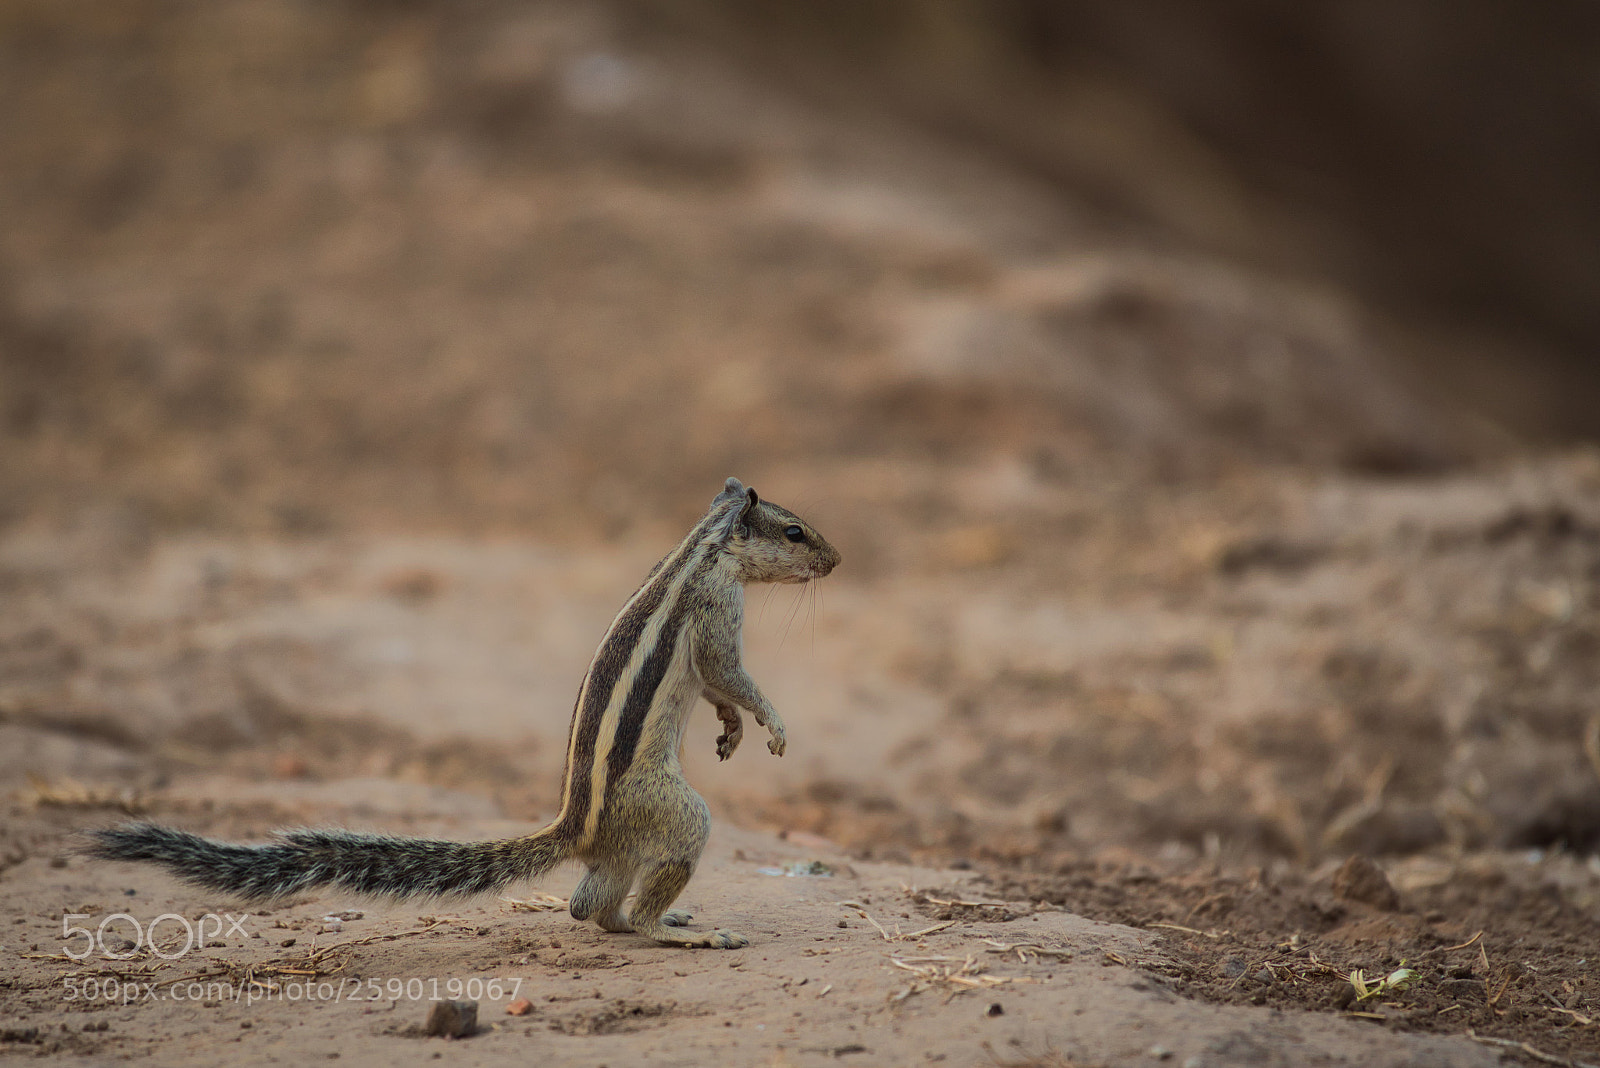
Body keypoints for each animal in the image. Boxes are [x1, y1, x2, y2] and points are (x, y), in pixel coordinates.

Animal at [87, 477, 840, 949]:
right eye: (796, 532)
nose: (837, 560)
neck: (704, 548)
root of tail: (575, 828)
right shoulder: (719, 612)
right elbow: (729, 674)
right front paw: (772, 725)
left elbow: (718, 690)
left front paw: (733, 731)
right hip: (678, 813)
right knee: (625, 893)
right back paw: (684, 930)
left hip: (626, 847)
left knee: (588, 908)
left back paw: (649, 921)